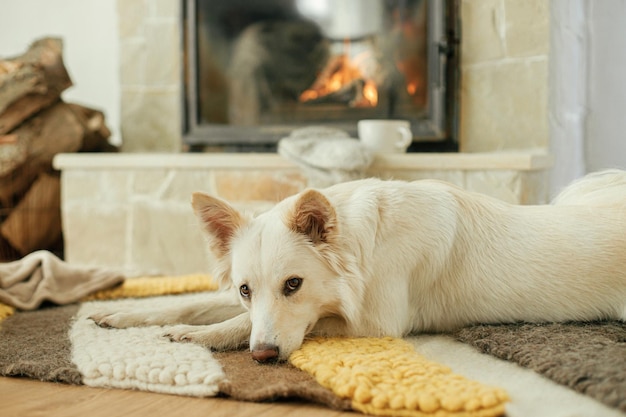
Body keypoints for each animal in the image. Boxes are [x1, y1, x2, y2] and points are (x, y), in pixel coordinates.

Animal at [91, 169, 624, 360]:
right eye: (244, 289)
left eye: (294, 284)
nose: (263, 357)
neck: (361, 247)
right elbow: (197, 303)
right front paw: (122, 313)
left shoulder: (375, 323)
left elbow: (242, 326)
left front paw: (200, 337)